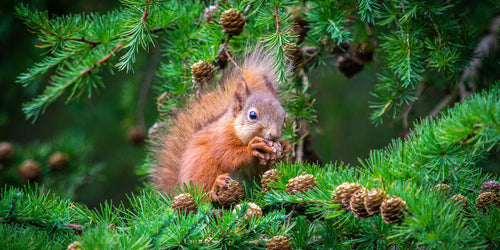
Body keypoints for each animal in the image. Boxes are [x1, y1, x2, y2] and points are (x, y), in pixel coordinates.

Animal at [150, 50, 288, 199]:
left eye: (284, 118)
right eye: (252, 115)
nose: (275, 135)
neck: (235, 128)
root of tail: (182, 188)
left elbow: (261, 173)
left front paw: (281, 151)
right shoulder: (220, 137)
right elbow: (227, 156)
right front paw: (253, 148)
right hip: (202, 164)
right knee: (203, 193)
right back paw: (216, 186)